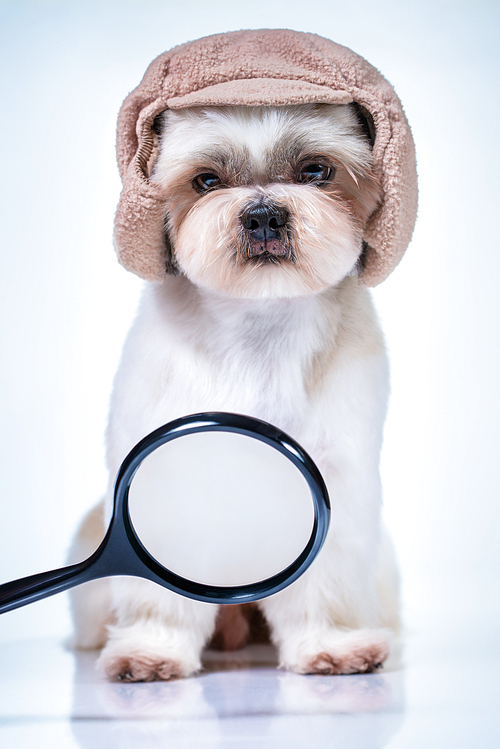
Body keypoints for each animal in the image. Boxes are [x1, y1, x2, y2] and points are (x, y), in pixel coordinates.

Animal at [67, 102, 402, 680]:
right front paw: (152, 649)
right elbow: (160, 596)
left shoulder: (336, 479)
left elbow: (325, 582)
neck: (259, 322)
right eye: (206, 181)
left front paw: (331, 646)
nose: (264, 214)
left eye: (316, 171)